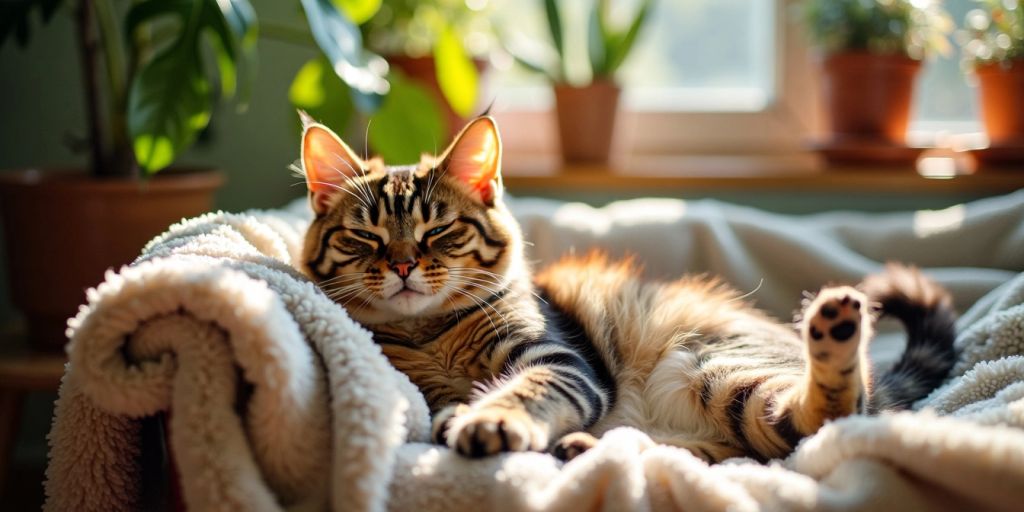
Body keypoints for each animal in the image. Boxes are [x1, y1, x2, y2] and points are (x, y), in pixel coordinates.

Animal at [296, 113, 958, 464]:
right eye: (365, 237)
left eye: (439, 230)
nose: (404, 265)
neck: (429, 332)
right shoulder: (423, 385)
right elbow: (441, 405)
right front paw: (460, 416)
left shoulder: (560, 360)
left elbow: (525, 391)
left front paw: (492, 421)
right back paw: (584, 449)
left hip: (718, 367)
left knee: (829, 417)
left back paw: (836, 327)